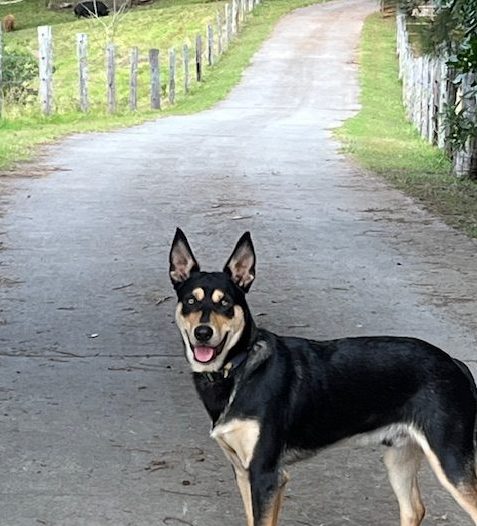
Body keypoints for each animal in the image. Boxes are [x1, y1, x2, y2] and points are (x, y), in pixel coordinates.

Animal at [168, 230, 476, 526]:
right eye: (190, 301)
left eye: (226, 303)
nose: (203, 333)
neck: (239, 367)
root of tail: (454, 362)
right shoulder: (243, 472)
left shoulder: (266, 475)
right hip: (399, 455)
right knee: (414, 510)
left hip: (449, 459)